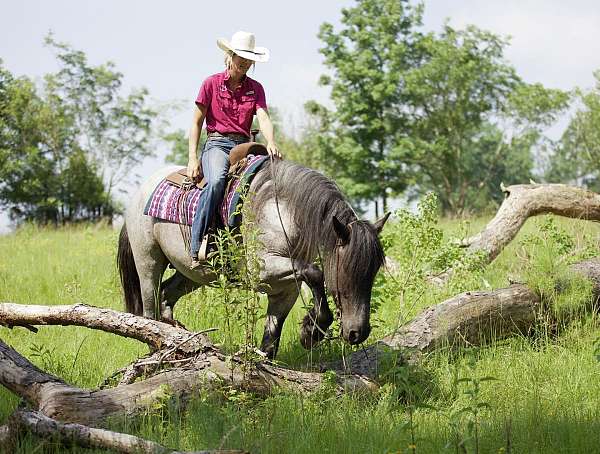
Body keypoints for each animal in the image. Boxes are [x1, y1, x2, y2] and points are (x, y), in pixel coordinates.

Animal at [117, 160, 390, 358]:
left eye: (374, 271)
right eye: (346, 271)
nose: (358, 333)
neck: (282, 211)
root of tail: (139, 193)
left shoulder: (285, 291)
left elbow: (270, 343)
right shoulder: (260, 271)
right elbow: (315, 272)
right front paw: (312, 332)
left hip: (192, 273)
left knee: (166, 296)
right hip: (148, 265)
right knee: (150, 312)